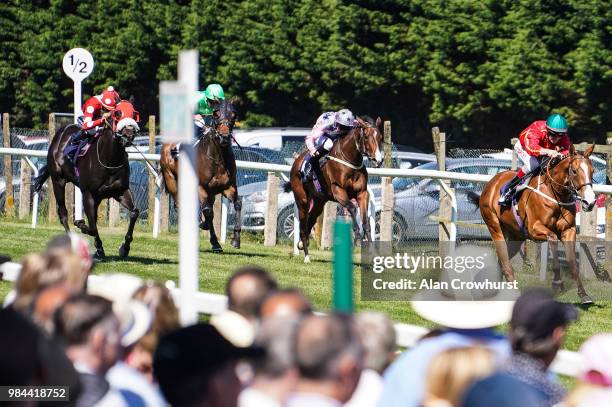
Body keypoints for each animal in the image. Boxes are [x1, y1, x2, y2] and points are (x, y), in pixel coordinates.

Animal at [34, 100, 142, 260]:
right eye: (117, 113)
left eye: (134, 114)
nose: (129, 134)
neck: (109, 159)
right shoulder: (88, 193)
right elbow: (91, 227)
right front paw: (80, 224)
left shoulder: (120, 190)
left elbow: (134, 212)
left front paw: (124, 248)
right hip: (58, 181)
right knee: (63, 213)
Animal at [159, 99, 240, 252]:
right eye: (216, 113)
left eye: (234, 114)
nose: (224, 137)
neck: (218, 158)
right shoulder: (200, 187)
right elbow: (208, 212)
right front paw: (208, 232)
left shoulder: (229, 187)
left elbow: (237, 204)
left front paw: (235, 240)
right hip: (171, 180)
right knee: (180, 205)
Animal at [284, 117, 382, 264]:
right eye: (366, 136)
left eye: (380, 137)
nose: (379, 160)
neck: (350, 161)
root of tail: (297, 161)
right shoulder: (338, 191)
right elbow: (352, 208)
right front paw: (357, 236)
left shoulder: (362, 193)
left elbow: (366, 223)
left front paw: (373, 256)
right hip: (302, 200)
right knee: (303, 225)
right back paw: (306, 256)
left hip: (319, 201)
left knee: (310, 221)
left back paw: (301, 243)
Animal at [474, 145, 596, 304]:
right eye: (574, 171)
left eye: (592, 171)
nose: (590, 202)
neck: (555, 192)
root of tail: (491, 182)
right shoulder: (534, 229)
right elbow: (552, 238)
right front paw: (557, 283)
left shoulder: (568, 230)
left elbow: (573, 263)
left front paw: (583, 294)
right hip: (494, 226)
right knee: (505, 262)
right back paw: (513, 293)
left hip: (516, 236)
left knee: (501, 261)